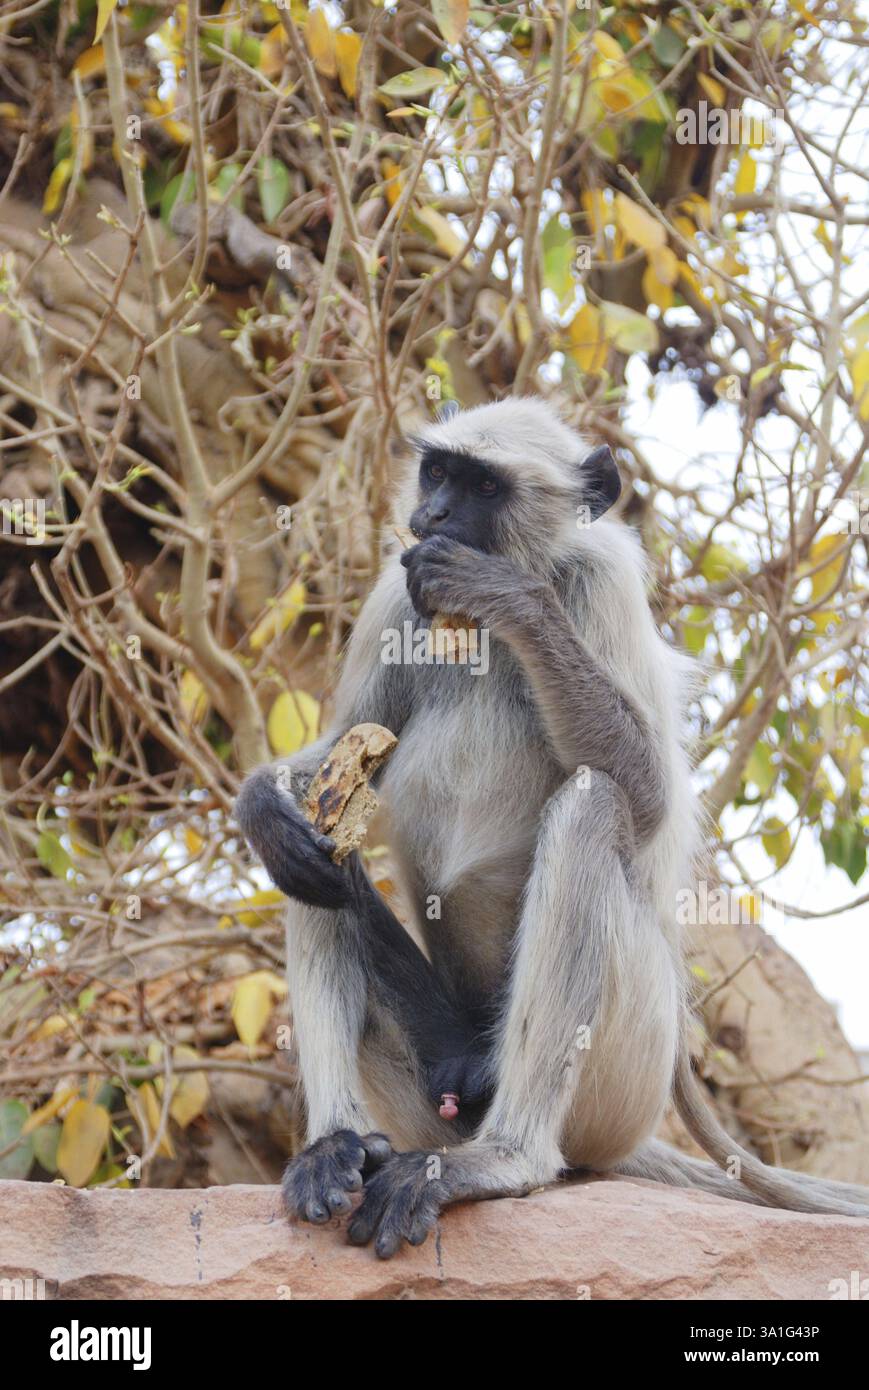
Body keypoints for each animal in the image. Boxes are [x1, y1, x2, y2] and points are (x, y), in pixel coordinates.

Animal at [236, 397, 869, 1259]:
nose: (434, 514)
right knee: (321, 854)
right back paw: (337, 1146)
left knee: (590, 806)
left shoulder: (601, 578)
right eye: (437, 472)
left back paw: (504, 1161)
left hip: (623, 1074)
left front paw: (508, 595)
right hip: (439, 1095)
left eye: (481, 486)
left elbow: (645, 794)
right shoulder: (394, 596)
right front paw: (262, 805)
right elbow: (339, 756)